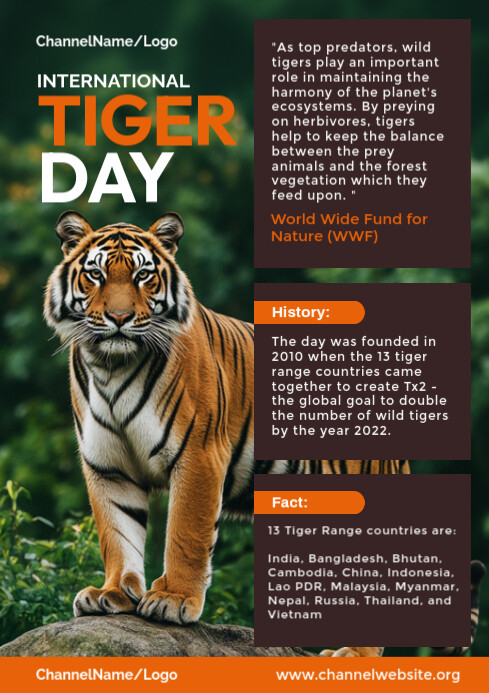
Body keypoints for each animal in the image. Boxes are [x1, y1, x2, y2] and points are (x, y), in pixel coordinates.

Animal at [44, 211, 483, 658]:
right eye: (95, 275)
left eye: (143, 276)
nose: (119, 319)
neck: (113, 366)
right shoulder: (108, 466)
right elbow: (118, 534)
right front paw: (113, 594)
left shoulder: (198, 455)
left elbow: (186, 535)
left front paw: (173, 599)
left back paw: (352, 655)